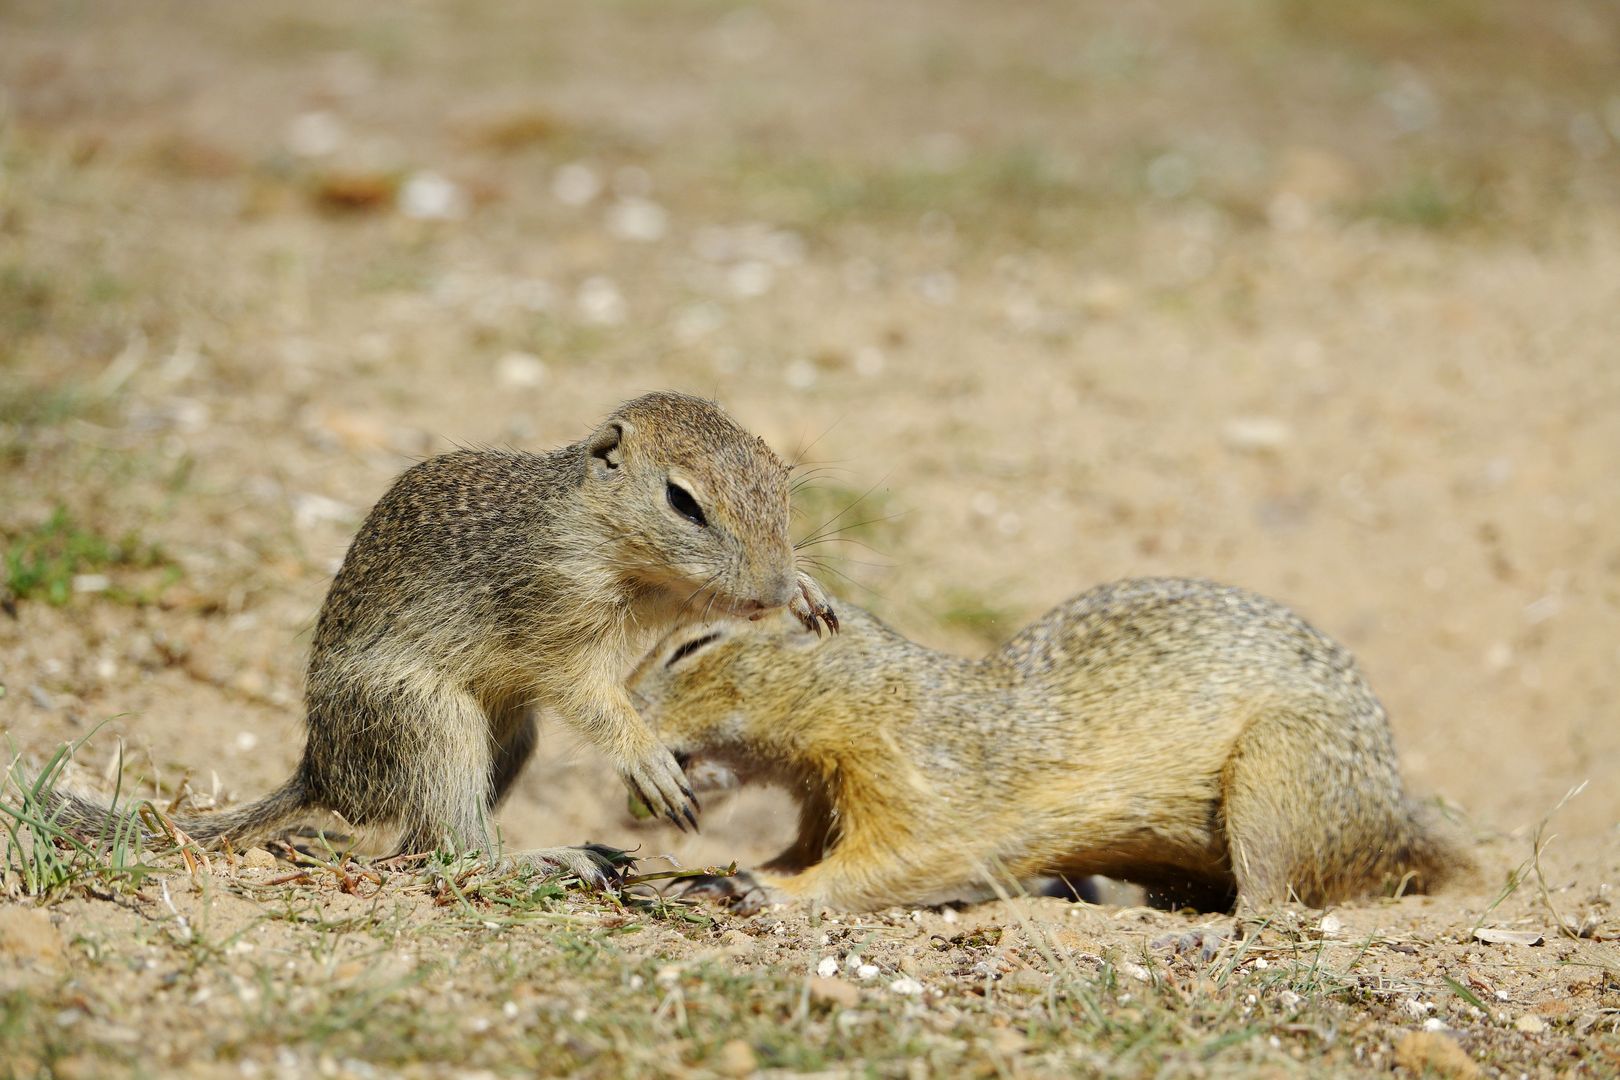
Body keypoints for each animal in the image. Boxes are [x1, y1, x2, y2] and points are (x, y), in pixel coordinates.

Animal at [50, 393, 835, 880]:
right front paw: (647, 761)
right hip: (432, 719)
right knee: (456, 848)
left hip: (510, 736)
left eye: (781, 478)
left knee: (423, 838)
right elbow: (589, 694)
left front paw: (806, 594)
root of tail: (319, 771)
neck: (602, 534)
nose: (771, 586)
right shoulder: (554, 614)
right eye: (682, 501)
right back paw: (549, 859)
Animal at [628, 579, 1470, 906]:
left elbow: (902, 860)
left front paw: (770, 891)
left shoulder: (923, 782)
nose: (622, 704)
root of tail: (1396, 828)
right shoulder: (821, 803)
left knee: (1277, 896)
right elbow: (799, 850)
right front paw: (722, 873)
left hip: (1280, 776)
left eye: (694, 645)